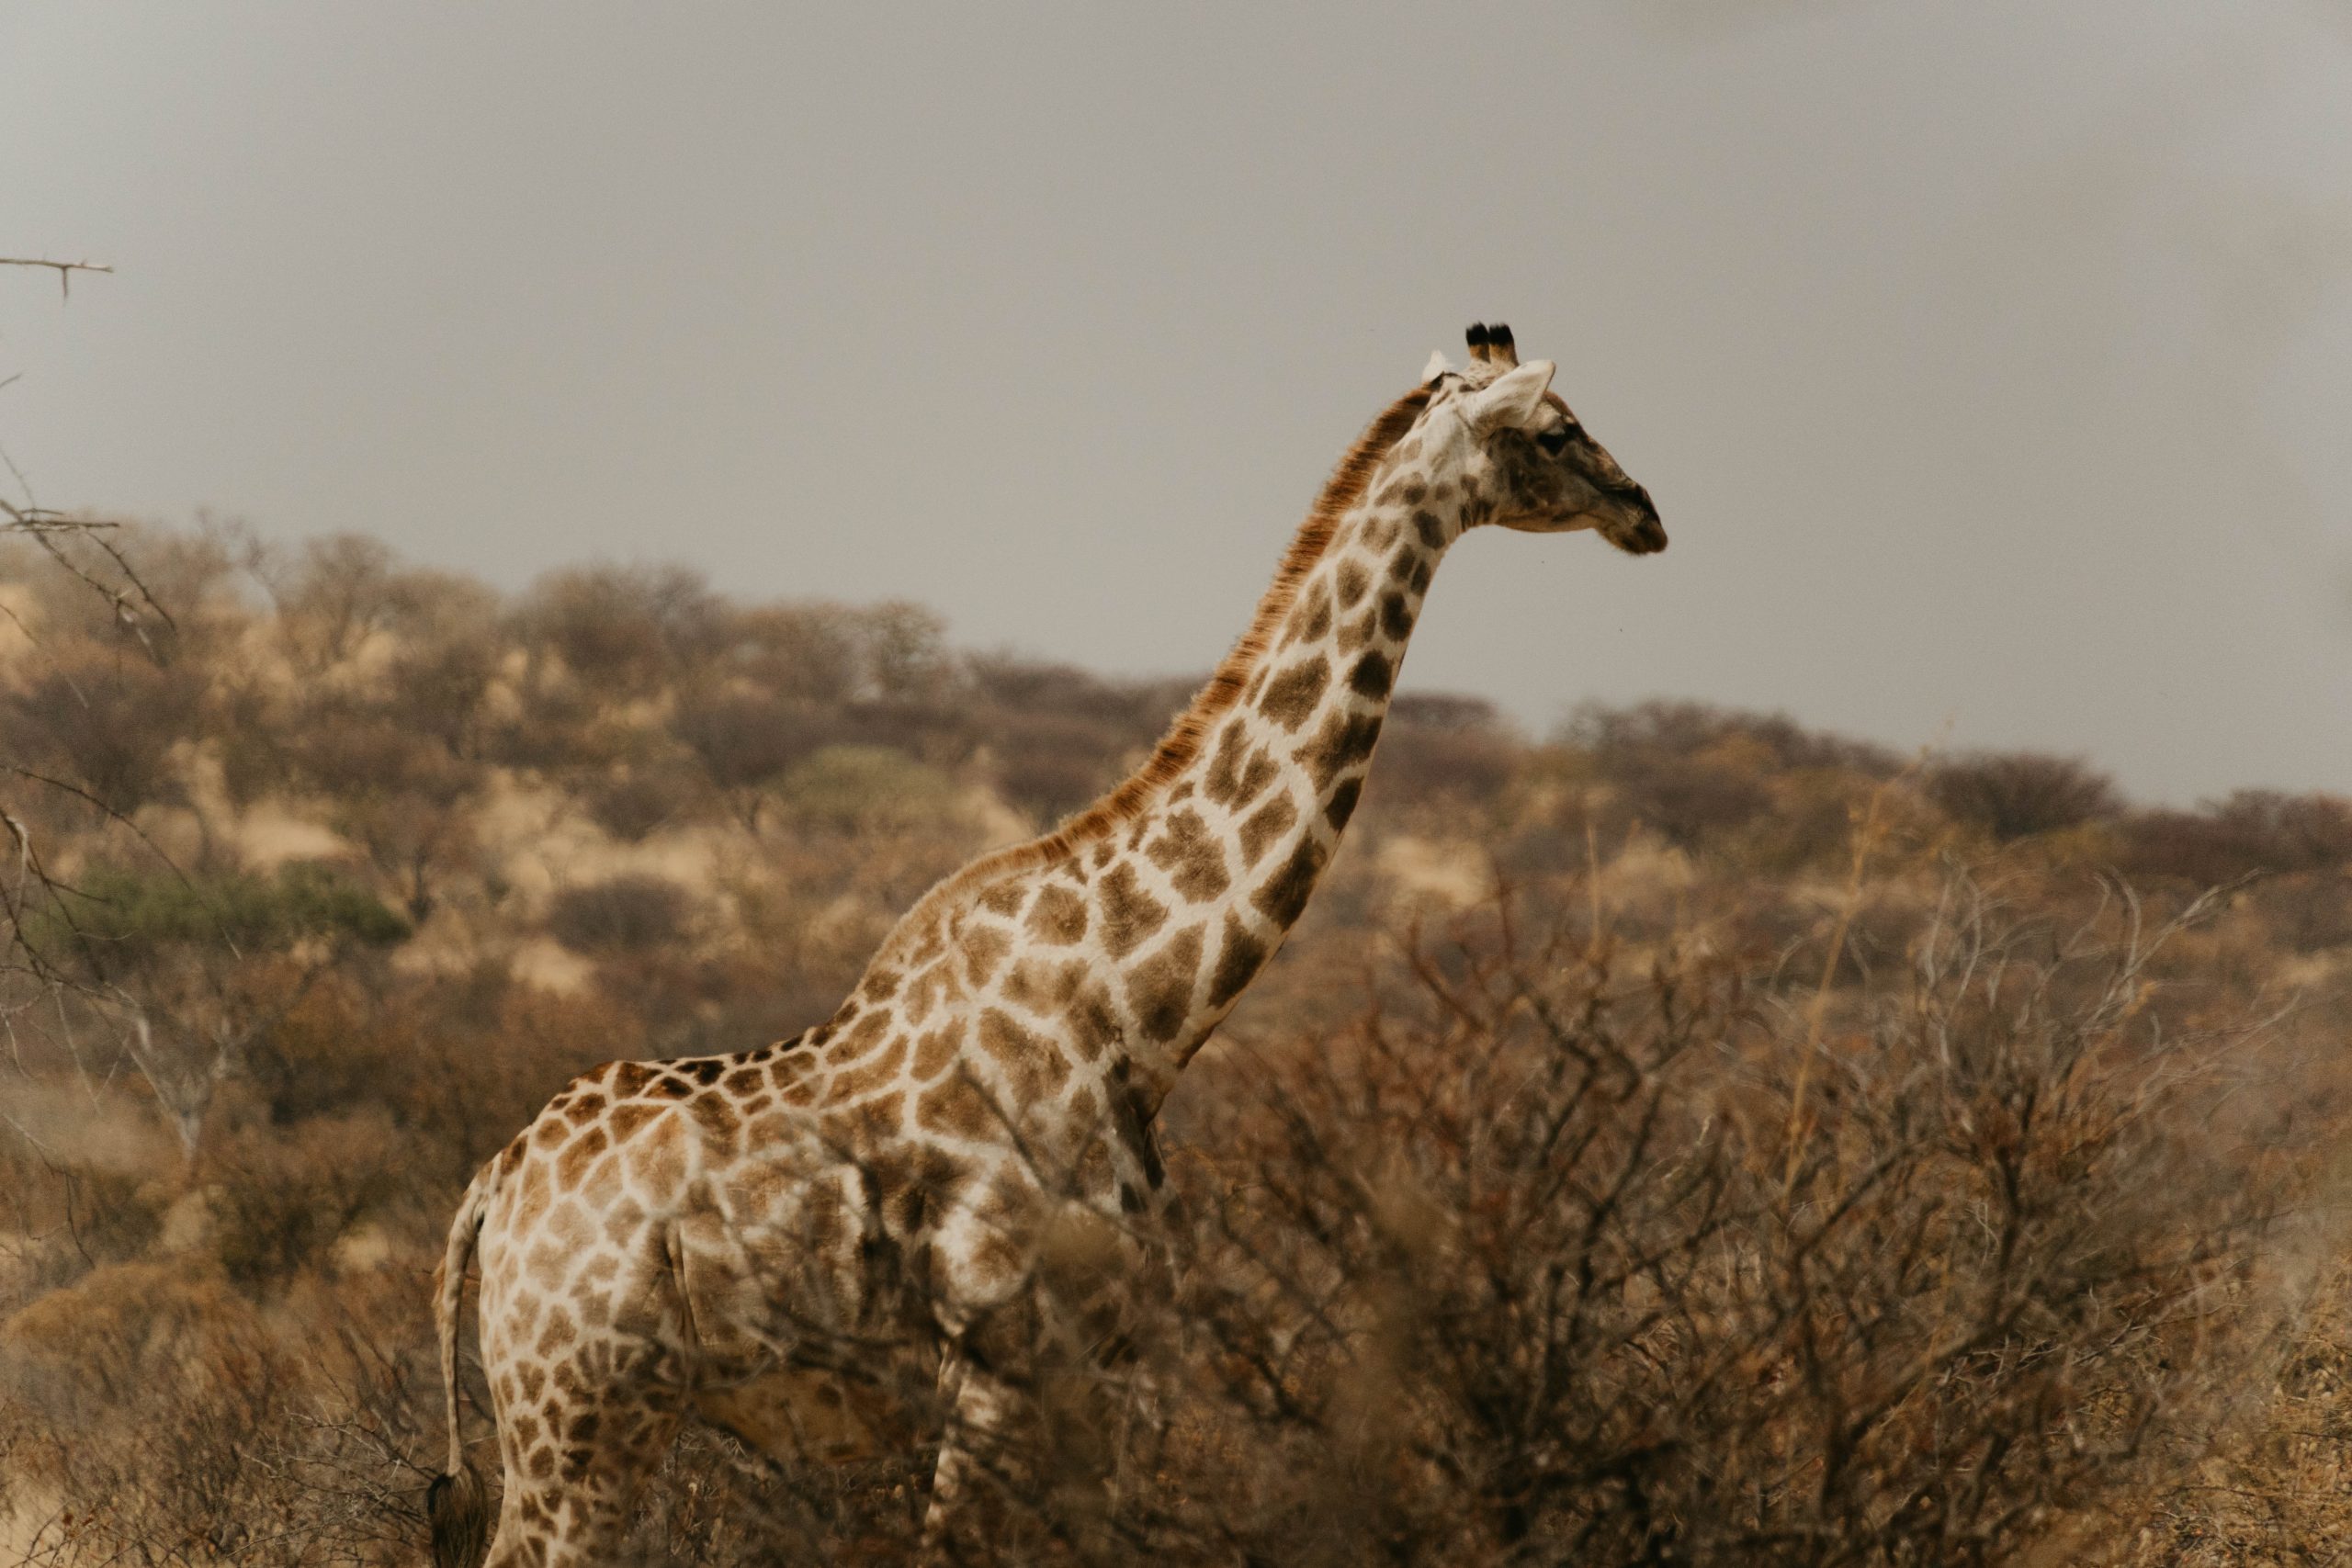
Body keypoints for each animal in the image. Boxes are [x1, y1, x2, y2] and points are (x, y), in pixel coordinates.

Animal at [426, 323, 1666, 1566]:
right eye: (1557, 429)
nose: (1644, 509)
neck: (1136, 1007)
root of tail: (491, 1188)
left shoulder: (1100, 1369)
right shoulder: (1003, 1366)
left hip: (585, 1423)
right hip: (582, 1421)